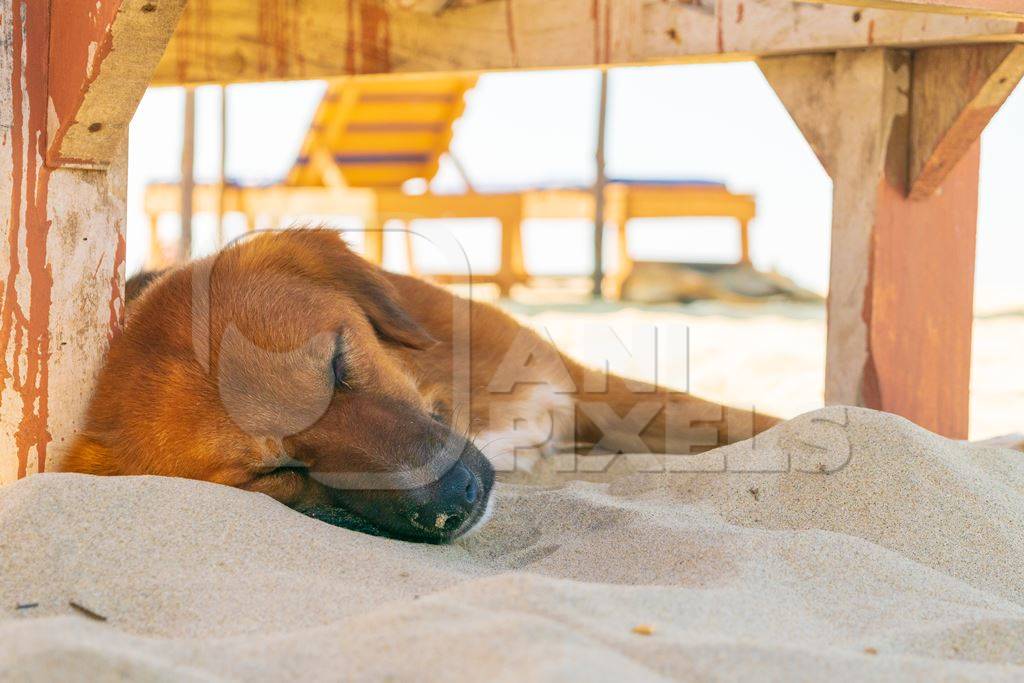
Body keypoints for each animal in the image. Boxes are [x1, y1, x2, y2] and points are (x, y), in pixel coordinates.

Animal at [64, 229, 778, 544]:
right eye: (278, 472)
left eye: (338, 366)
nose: (453, 502)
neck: (448, 399)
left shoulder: (577, 384)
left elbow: (741, 421)